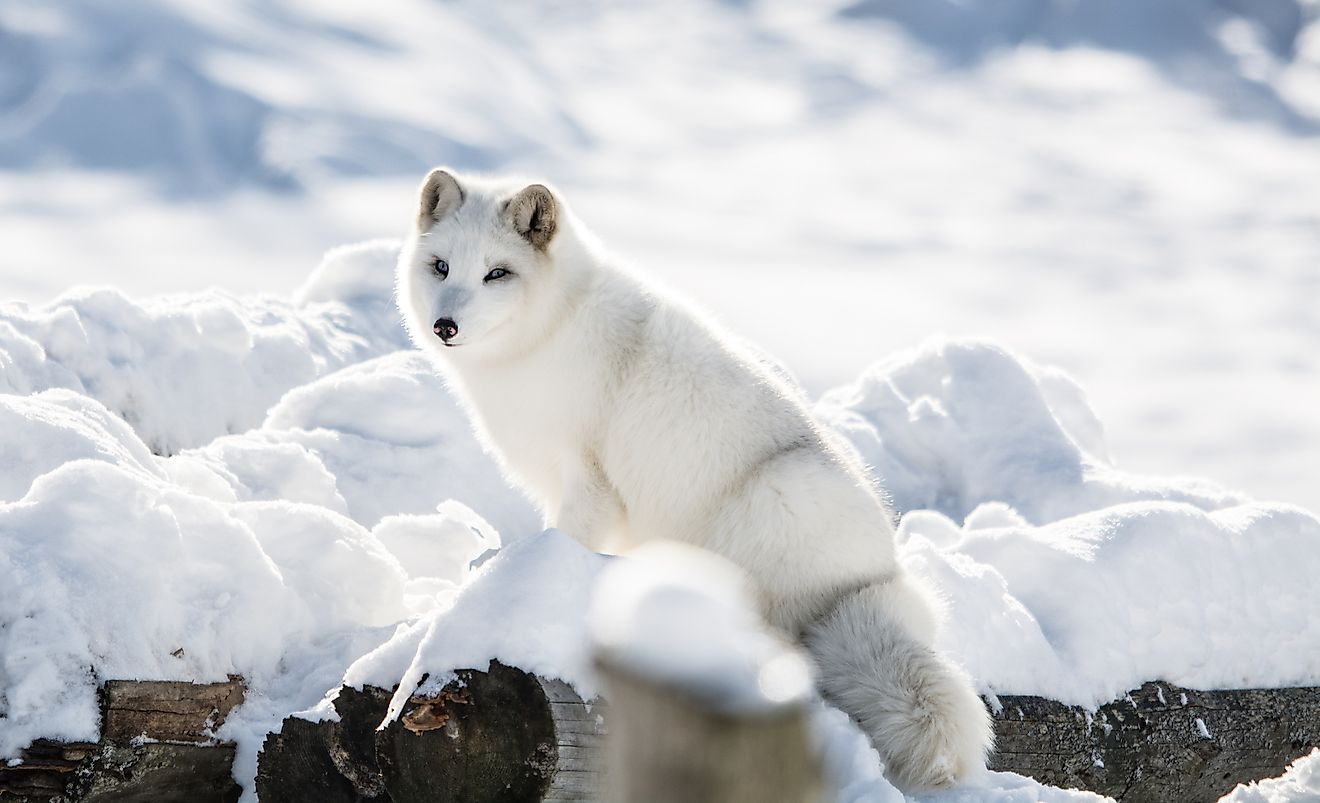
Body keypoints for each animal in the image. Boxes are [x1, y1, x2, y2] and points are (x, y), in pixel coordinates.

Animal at [396, 169, 992, 792]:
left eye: (497, 273)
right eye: (441, 266)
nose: (444, 326)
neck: (551, 330)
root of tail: (875, 579)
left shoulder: (589, 484)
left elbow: (563, 542)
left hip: (769, 502)